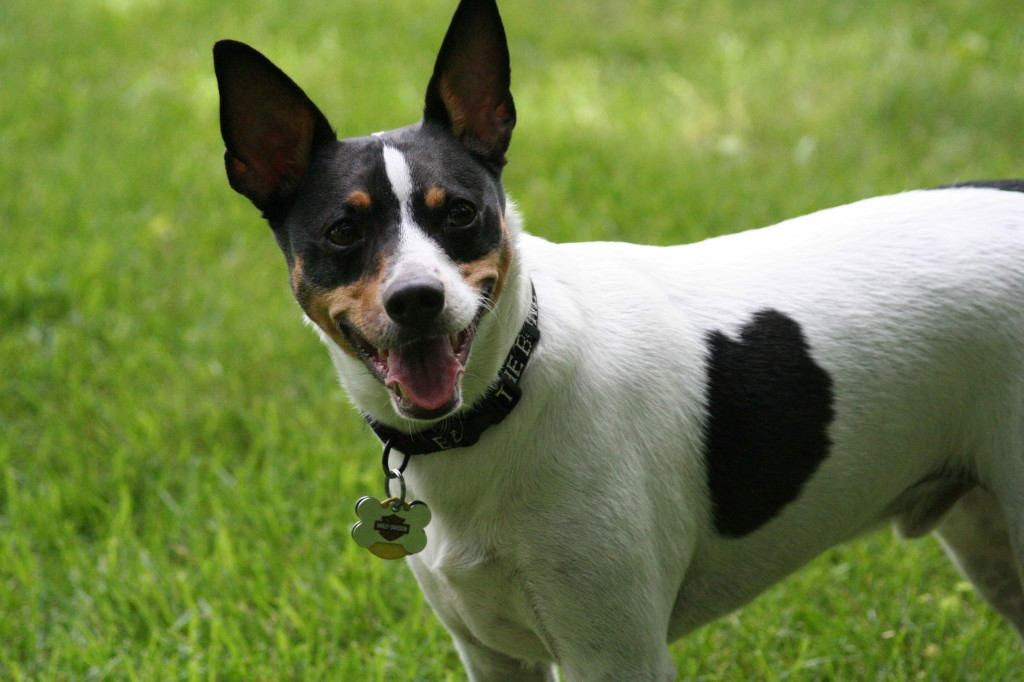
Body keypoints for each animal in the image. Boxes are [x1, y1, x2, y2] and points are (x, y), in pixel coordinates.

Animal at [211, 0, 1024, 675]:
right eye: (343, 232)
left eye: (462, 213)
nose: (417, 299)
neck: (504, 398)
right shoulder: (493, 655)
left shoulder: (615, 653)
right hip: (992, 542)